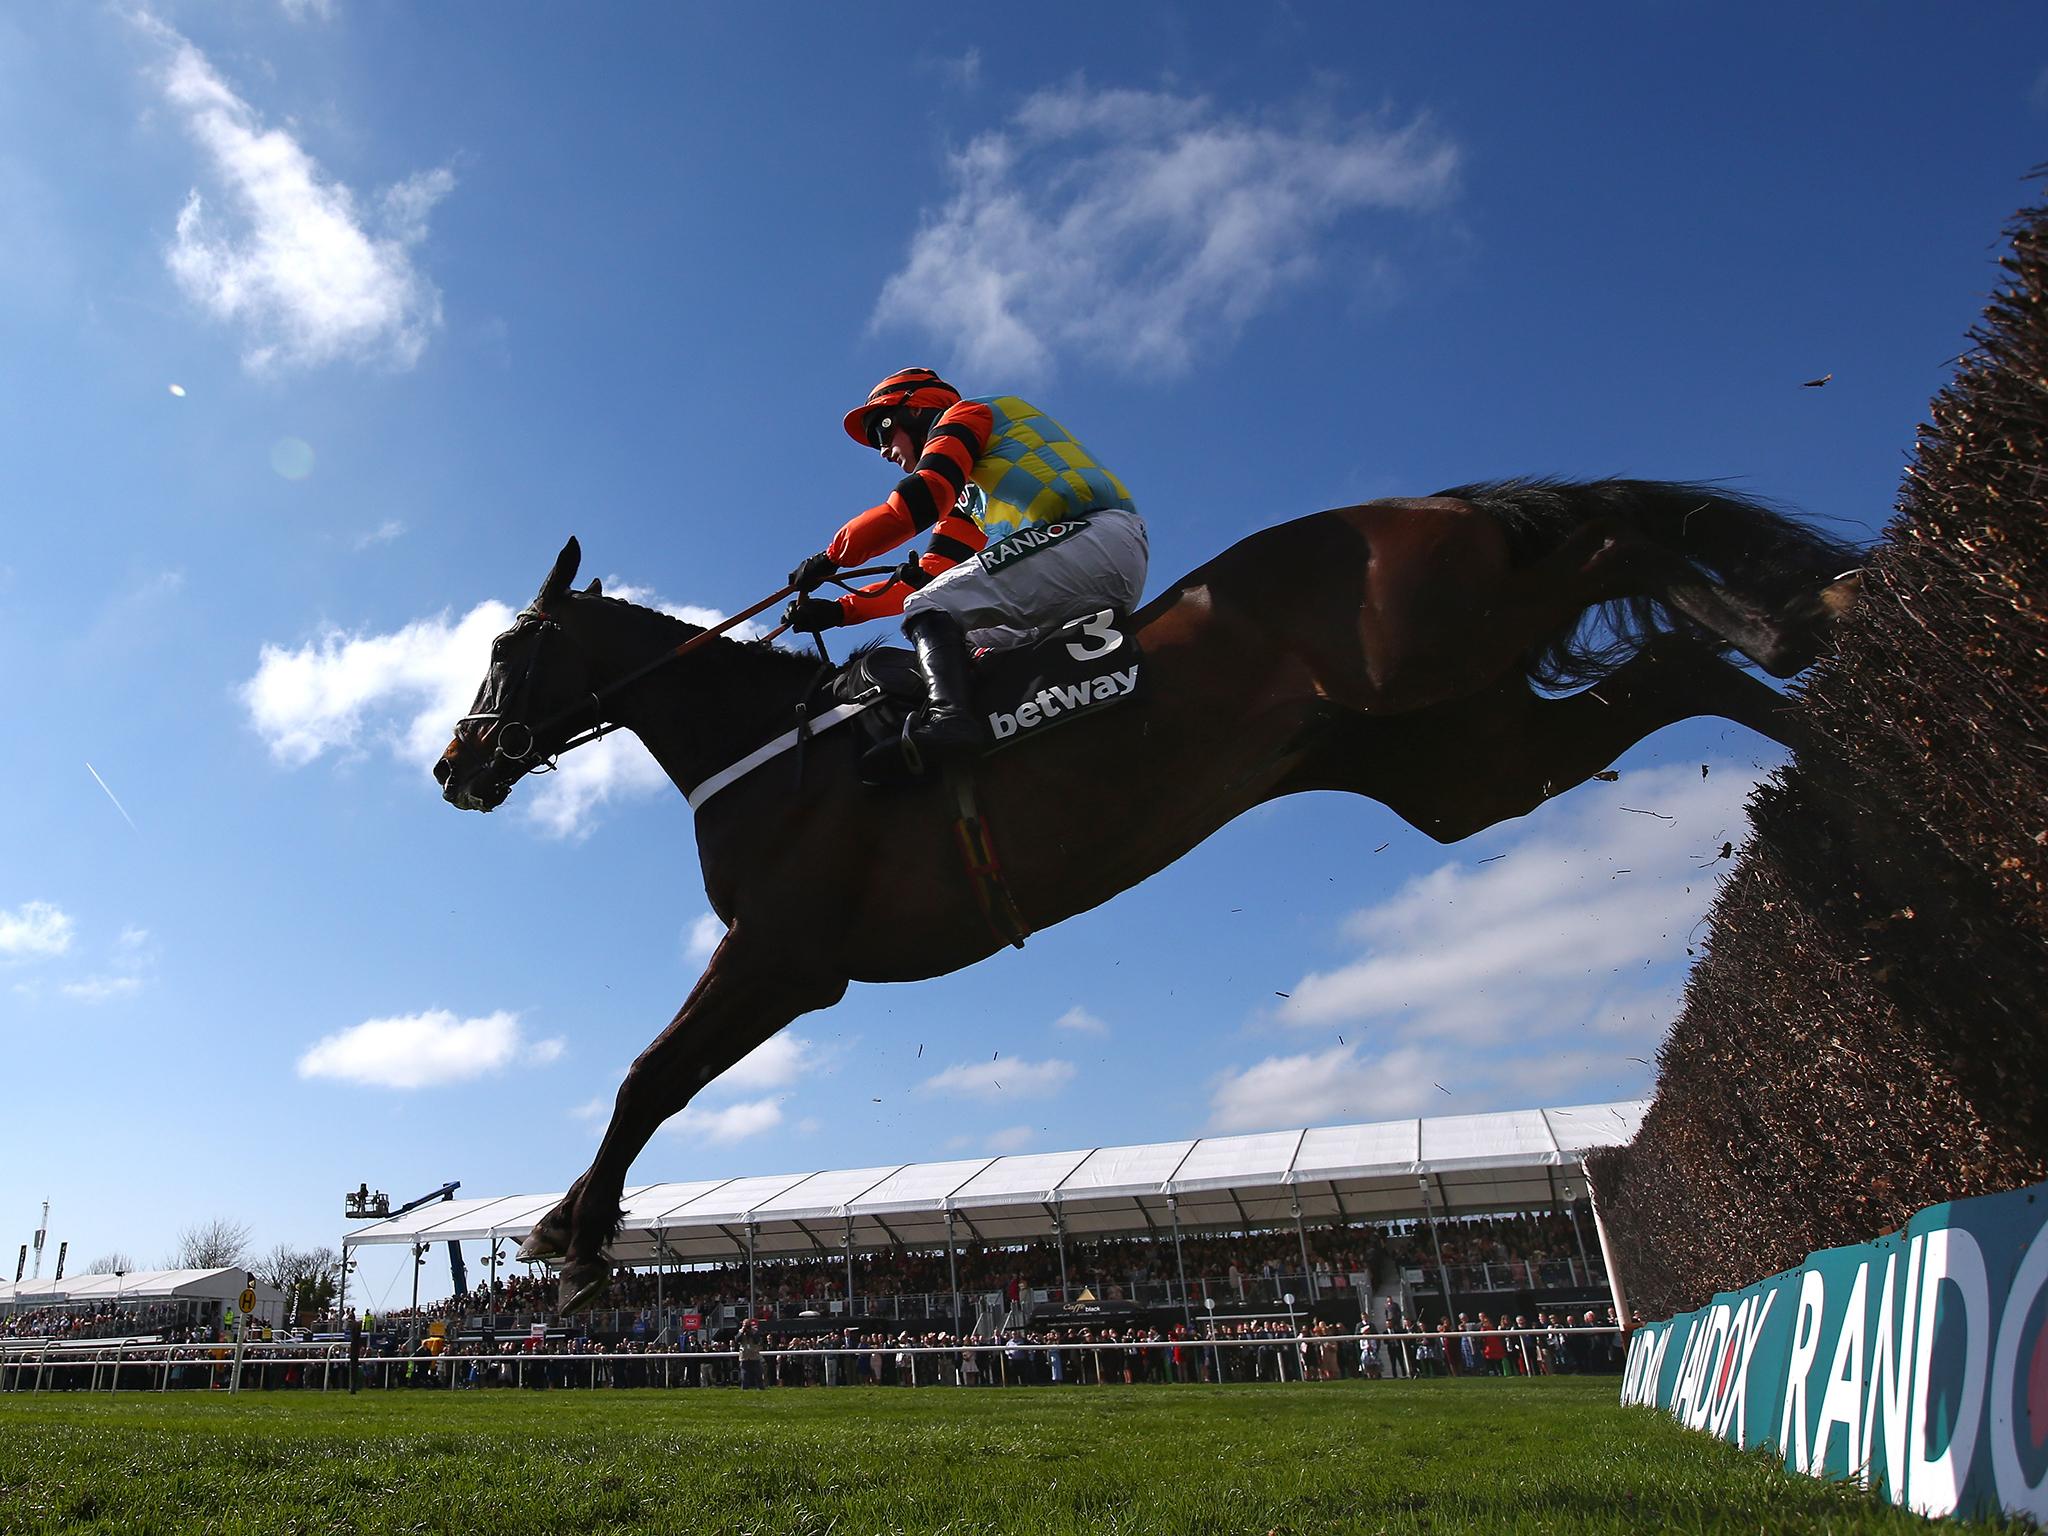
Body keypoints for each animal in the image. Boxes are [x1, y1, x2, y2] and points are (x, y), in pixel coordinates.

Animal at [440, 473, 1867, 1310]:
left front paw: (573, 1243)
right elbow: (650, 1079)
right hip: (1459, 759)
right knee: (1670, 670)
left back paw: (1815, 616)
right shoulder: (781, 964)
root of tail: (1427, 501)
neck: (768, 742)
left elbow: (645, 1078)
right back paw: (1820, 701)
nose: (456, 764)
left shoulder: (784, 957)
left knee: (1615, 539)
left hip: (1425, 646)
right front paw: (571, 1224)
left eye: (509, 647)